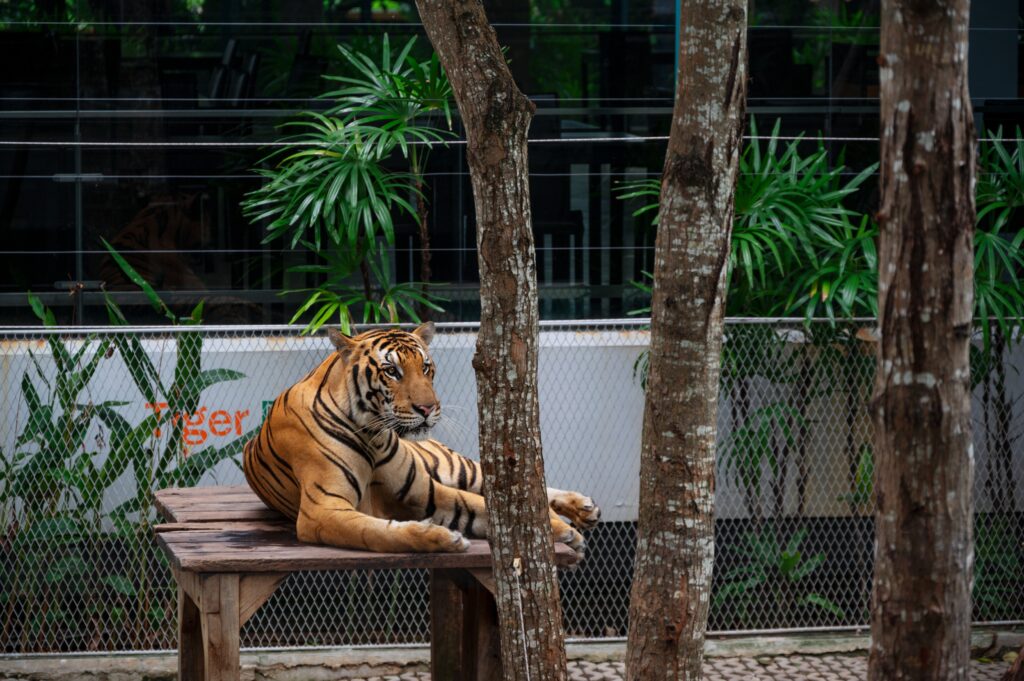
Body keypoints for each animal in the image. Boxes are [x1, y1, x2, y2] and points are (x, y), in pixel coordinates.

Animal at [241, 321, 598, 557]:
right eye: (391, 371)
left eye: (426, 367)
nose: (428, 408)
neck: (373, 433)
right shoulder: (323, 509)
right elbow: (375, 532)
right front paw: (439, 538)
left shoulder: (426, 490)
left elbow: (483, 507)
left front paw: (561, 530)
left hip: (453, 467)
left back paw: (583, 507)